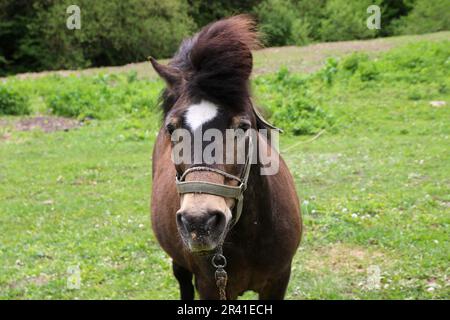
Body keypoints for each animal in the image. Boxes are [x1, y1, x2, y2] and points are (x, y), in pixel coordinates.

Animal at [149, 15, 300, 300]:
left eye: (243, 126)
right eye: (171, 128)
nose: (199, 222)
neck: (251, 233)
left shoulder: (279, 279)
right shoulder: (211, 287)